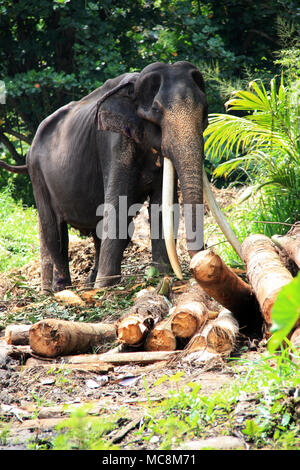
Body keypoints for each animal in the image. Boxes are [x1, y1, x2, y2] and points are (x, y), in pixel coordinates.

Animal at [0, 60, 241, 292]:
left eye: (205, 110)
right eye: (156, 111)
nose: (195, 268)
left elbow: (161, 207)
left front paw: (163, 275)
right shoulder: (113, 143)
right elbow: (117, 205)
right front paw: (106, 286)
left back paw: (87, 283)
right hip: (37, 174)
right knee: (53, 230)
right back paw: (59, 289)